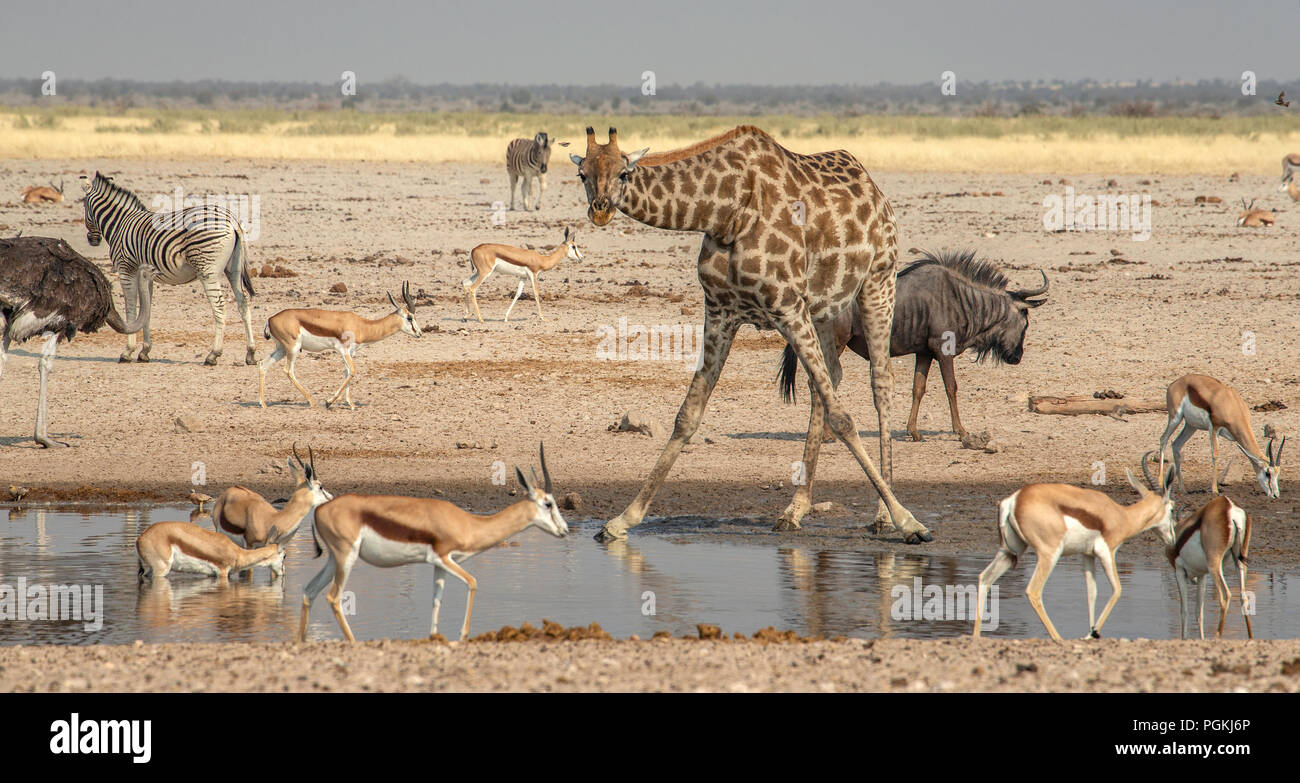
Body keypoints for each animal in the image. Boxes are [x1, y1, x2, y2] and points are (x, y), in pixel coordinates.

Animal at [79, 172, 257, 366]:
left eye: (84, 206)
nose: (92, 240)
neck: (120, 223)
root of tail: (232, 221)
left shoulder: (126, 269)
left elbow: (131, 308)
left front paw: (127, 351)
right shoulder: (145, 275)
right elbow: (146, 309)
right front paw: (144, 352)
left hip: (207, 270)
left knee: (220, 307)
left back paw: (213, 355)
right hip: (233, 269)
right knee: (243, 303)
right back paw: (250, 353)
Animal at [571, 126, 933, 544]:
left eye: (624, 173)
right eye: (583, 174)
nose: (600, 209)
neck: (723, 213)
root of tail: (877, 193)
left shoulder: (786, 305)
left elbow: (843, 418)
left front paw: (909, 521)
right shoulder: (721, 311)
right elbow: (687, 416)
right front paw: (622, 519)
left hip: (878, 280)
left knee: (880, 382)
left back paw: (881, 514)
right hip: (822, 307)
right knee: (825, 381)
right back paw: (795, 509)